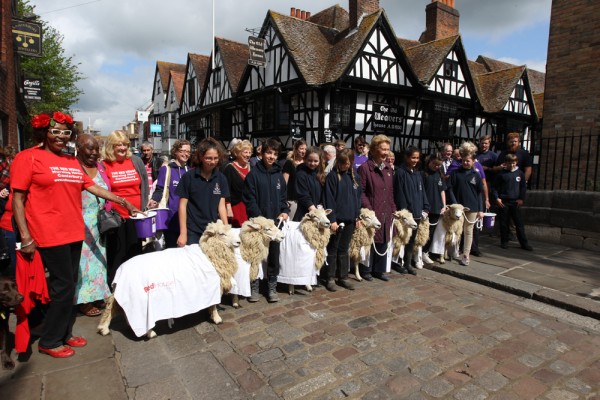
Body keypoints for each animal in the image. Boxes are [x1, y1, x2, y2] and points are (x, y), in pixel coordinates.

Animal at [97, 220, 240, 340]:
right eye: (222, 234)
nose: (239, 242)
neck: (209, 255)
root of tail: (120, 271)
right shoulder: (213, 284)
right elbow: (214, 304)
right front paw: (217, 318)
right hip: (139, 298)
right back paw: (149, 333)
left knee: (112, 305)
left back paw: (104, 329)